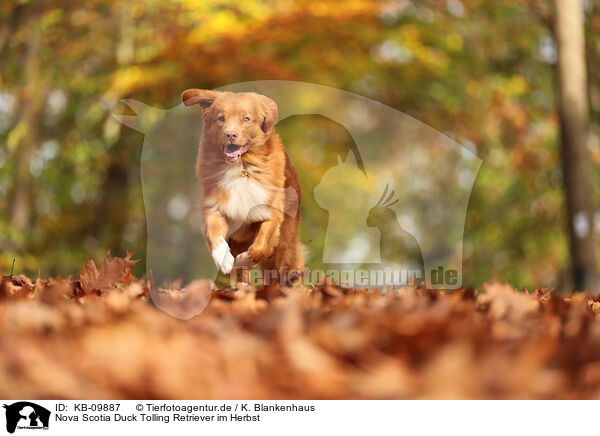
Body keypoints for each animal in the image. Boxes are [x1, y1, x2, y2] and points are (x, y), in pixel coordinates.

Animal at [182, 88, 304, 292]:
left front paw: (244, 259)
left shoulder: (270, 212)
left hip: (285, 239)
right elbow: (215, 234)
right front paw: (224, 259)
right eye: (220, 118)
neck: (241, 168)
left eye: (246, 118)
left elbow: (259, 248)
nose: (230, 134)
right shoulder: (214, 207)